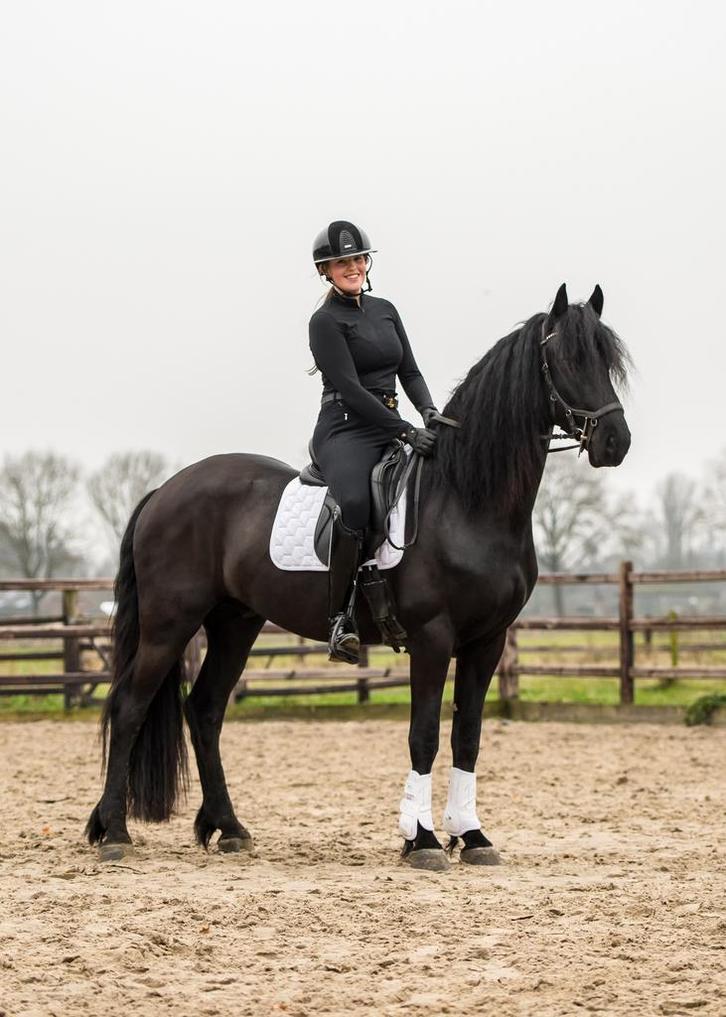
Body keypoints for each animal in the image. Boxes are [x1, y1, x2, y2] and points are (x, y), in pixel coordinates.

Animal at [86, 283, 632, 871]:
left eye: (607, 360)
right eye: (568, 359)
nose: (615, 442)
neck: (465, 500)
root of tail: (165, 490)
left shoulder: (487, 640)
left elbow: (468, 735)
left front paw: (473, 836)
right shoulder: (432, 637)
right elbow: (424, 735)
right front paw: (423, 840)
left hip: (235, 622)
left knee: (204, 710)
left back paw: (227, 828)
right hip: (171, 621)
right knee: (130, 706)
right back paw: (115, 832)